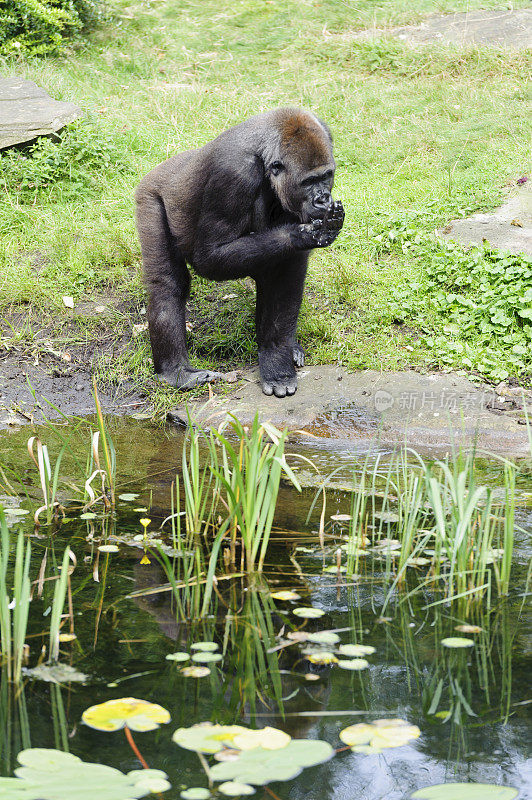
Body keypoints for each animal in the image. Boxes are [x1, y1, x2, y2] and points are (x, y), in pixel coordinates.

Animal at [135, 104, 344, 398]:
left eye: (326, 176)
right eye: (308, 181)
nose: (323, 198)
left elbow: (289, 271)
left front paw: (275, 357)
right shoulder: (233, 174)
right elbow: (210, 256)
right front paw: (300, 234)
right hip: (149, 196)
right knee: (167, 285)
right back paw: (176, 372)